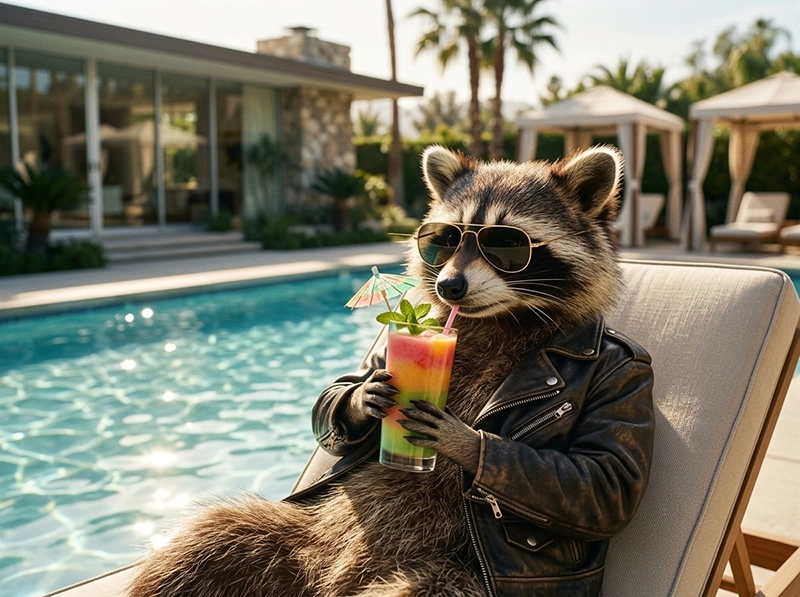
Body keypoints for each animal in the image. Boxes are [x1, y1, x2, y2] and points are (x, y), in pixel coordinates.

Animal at [127, 145, 654, 597]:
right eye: (443, 239)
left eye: (507, 244)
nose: (450, 287)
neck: (501, 319)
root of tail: (322, 583)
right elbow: (337, 391)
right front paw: (363, 398)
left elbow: (603, 480)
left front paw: (459, 437)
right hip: (291, 540)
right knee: (209, 540)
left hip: (444, 576)